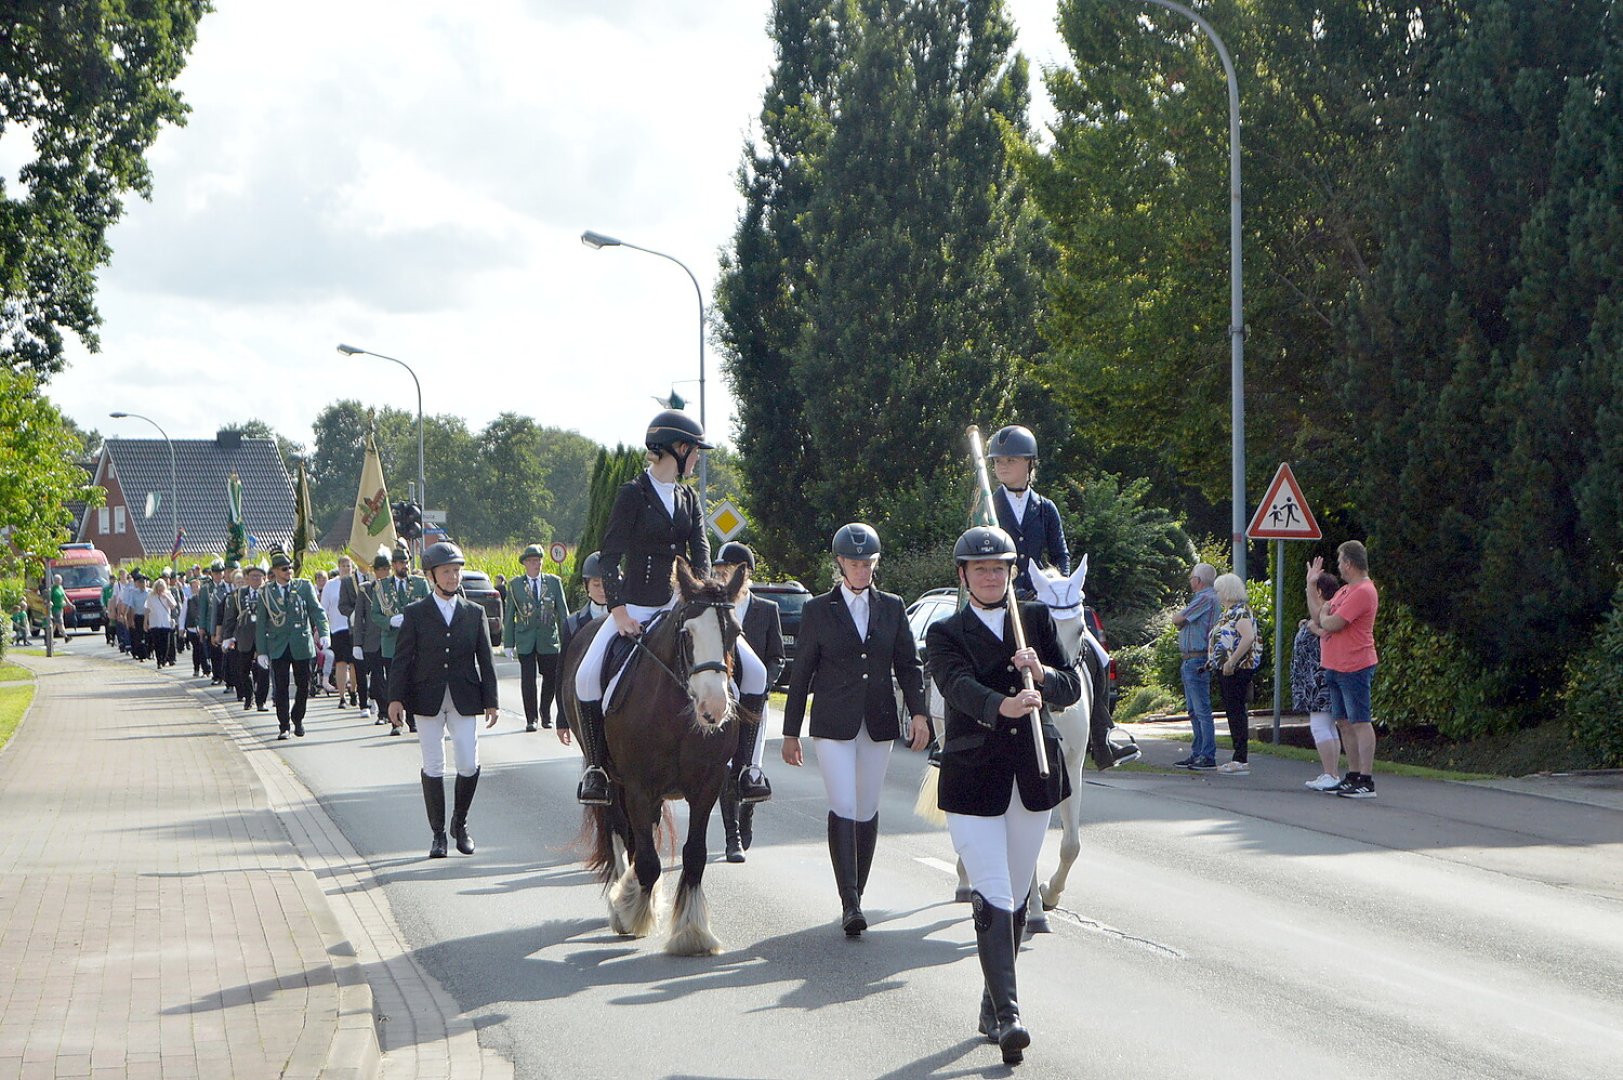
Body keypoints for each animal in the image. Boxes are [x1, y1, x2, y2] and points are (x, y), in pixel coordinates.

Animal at [568, 555, 749, 954]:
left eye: (735, 632)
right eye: (687, 633)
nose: (714, 708)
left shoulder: (706, 787)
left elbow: (694, 855)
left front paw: (693, 932)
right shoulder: (637, 786)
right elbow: (648, 861)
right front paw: (627, 911)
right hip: (612, 781)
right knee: (621, 833)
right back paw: (625, 895)